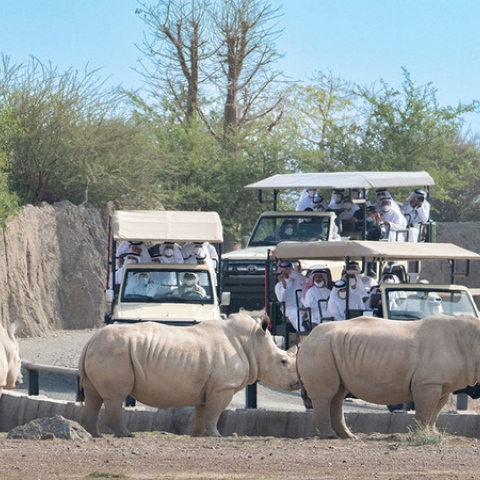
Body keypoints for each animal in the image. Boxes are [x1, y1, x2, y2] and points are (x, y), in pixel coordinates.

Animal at [79, 314, 298, 436]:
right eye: (283, 362)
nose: (298, 382)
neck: (254, 344)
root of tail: (89, 341)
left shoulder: (208, 387)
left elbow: (202, 412)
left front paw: (198, 435)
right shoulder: (223, 386)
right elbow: (214, 412)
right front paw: (216, 435)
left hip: (104, 350)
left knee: (93, 396)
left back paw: (94, 434)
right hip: (114, 352)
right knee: (115, 396)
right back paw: (125, 435)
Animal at [298, 316, 480, 438]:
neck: (472, 340)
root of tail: (306, 338)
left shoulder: (442, 384)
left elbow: (434, 412)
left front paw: (434, 435)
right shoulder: (428, 383)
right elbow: (425, 411)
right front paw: (421, 435)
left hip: (330, 349)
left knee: (338, 394)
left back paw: (348, 437)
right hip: (320, 348)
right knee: (327, 395)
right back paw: (330, 436)